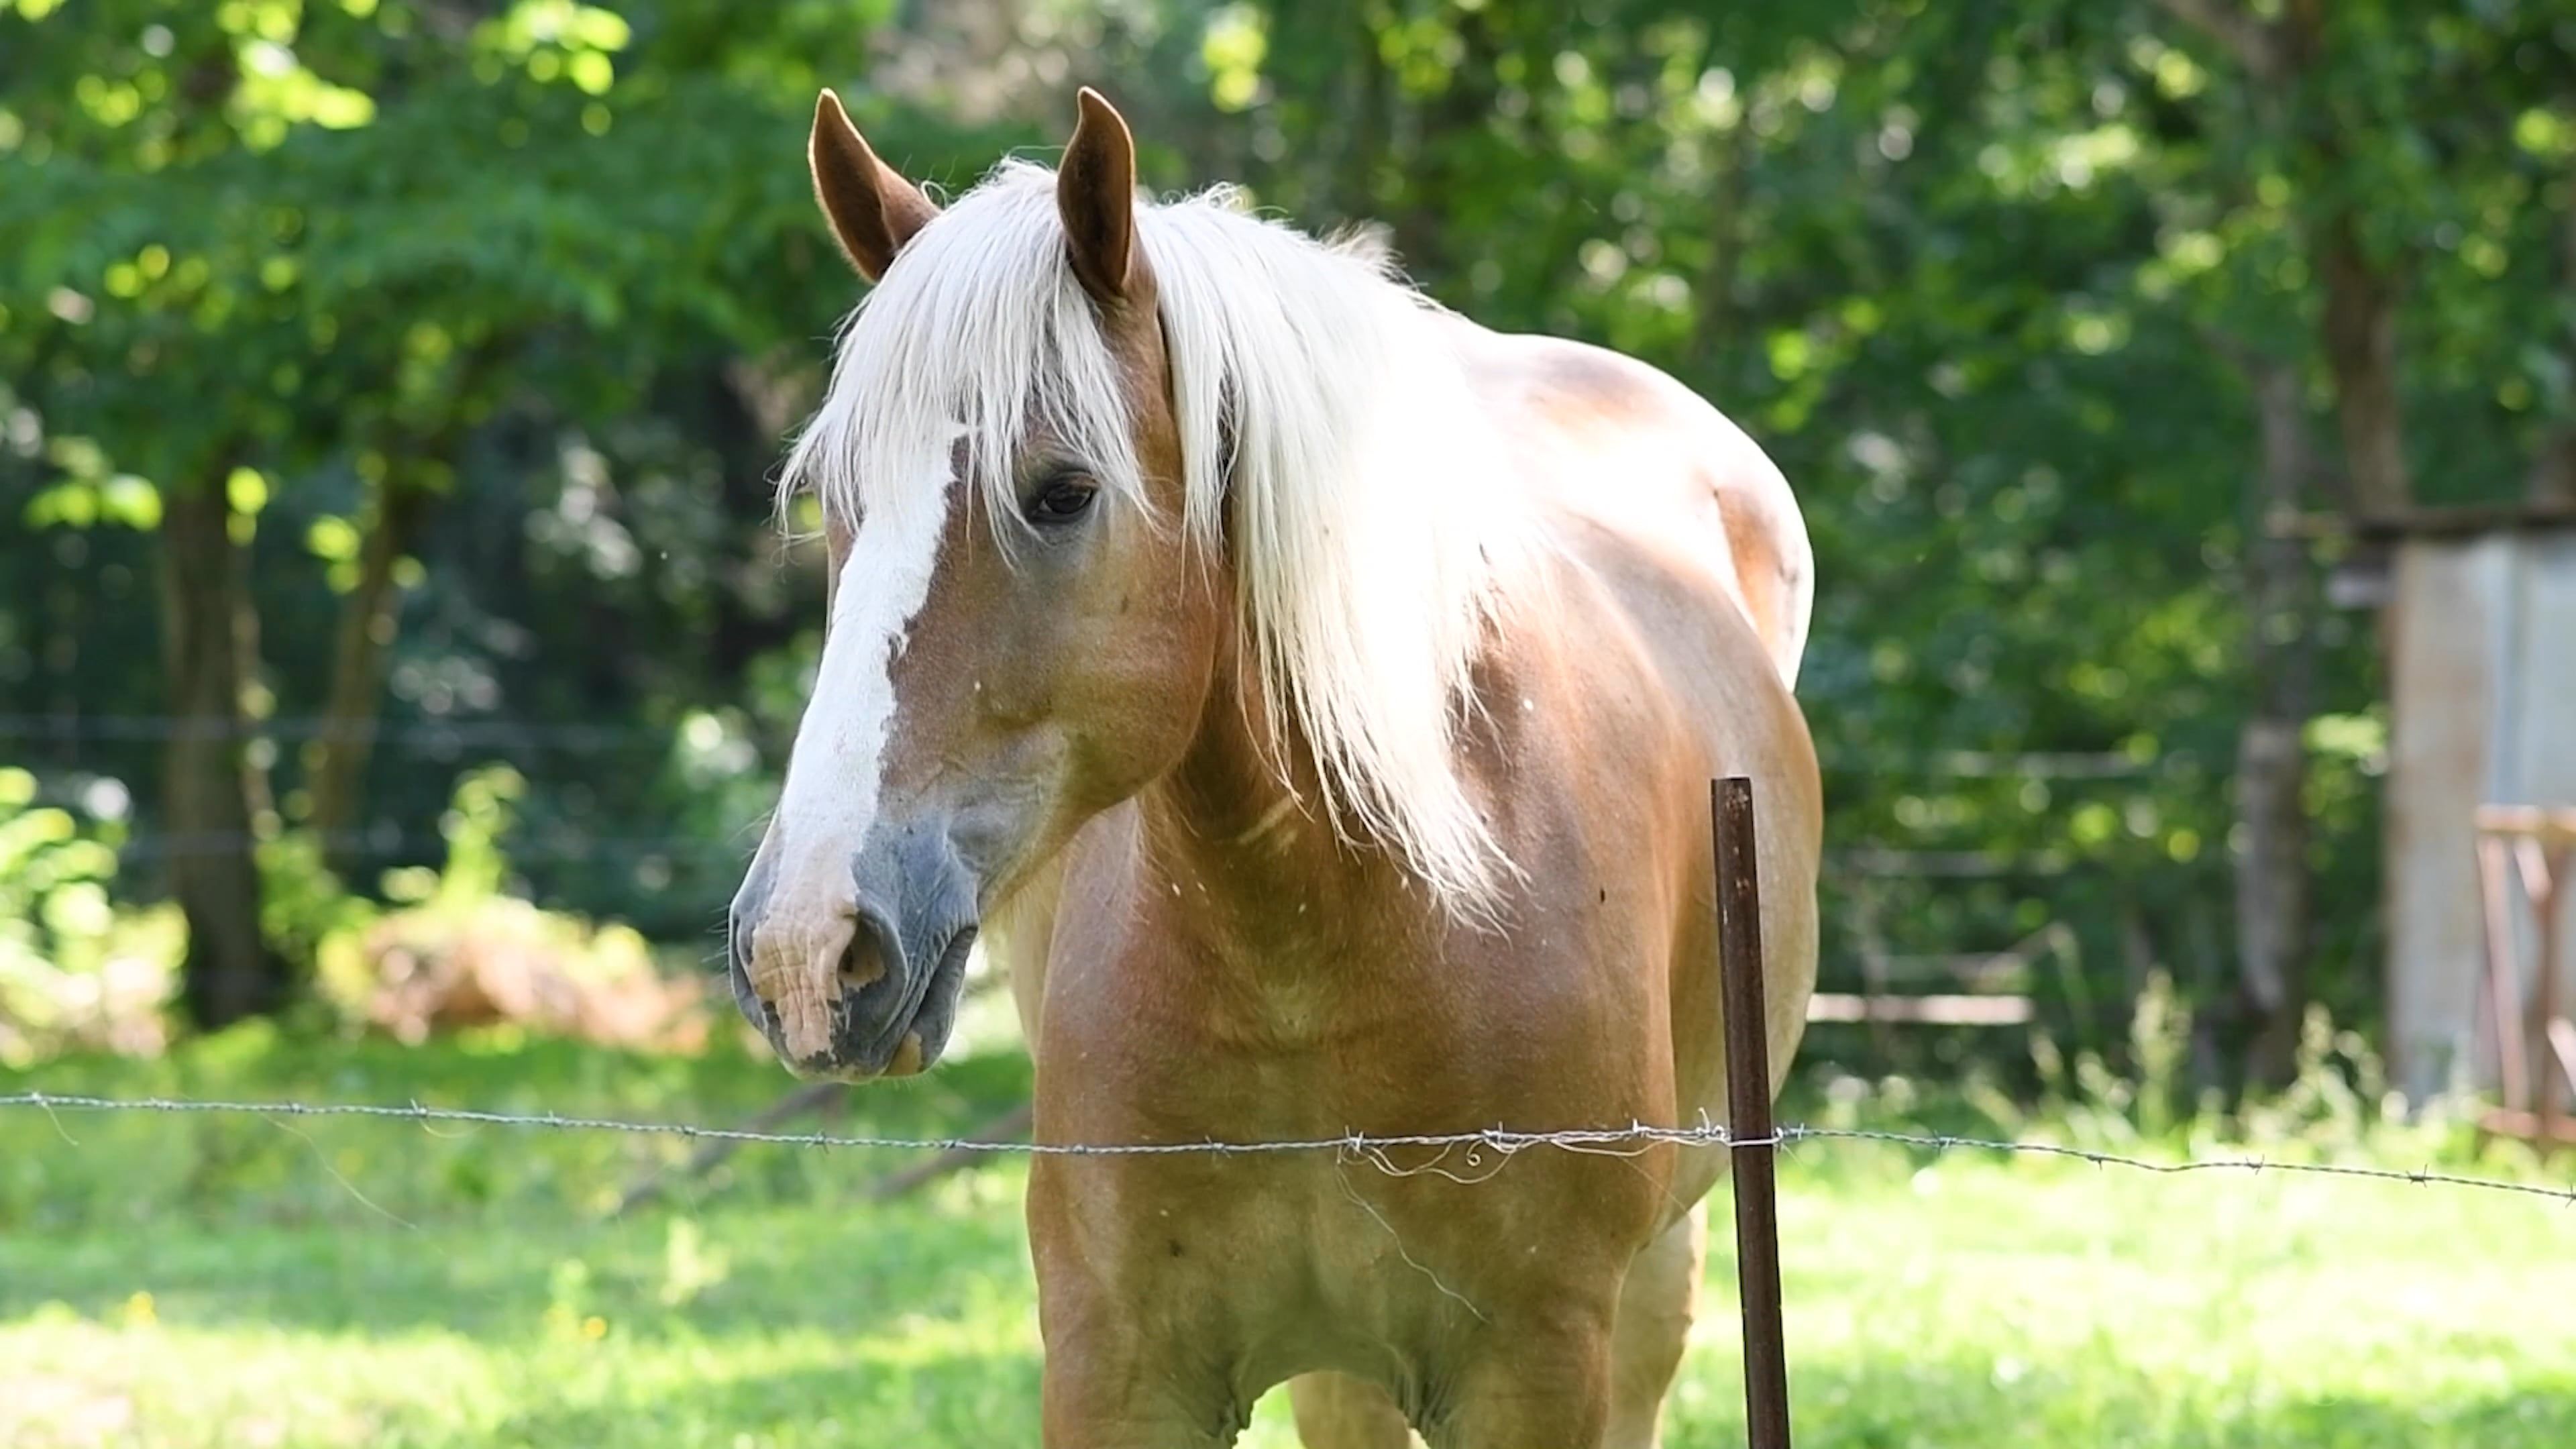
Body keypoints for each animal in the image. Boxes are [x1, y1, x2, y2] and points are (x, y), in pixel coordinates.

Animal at [726, 86, 1822, 1449]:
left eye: (1062, 492)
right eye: (833, 498)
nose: (805, 945)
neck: (1312, 945)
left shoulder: (1536, 1369)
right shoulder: (1117, 1370)